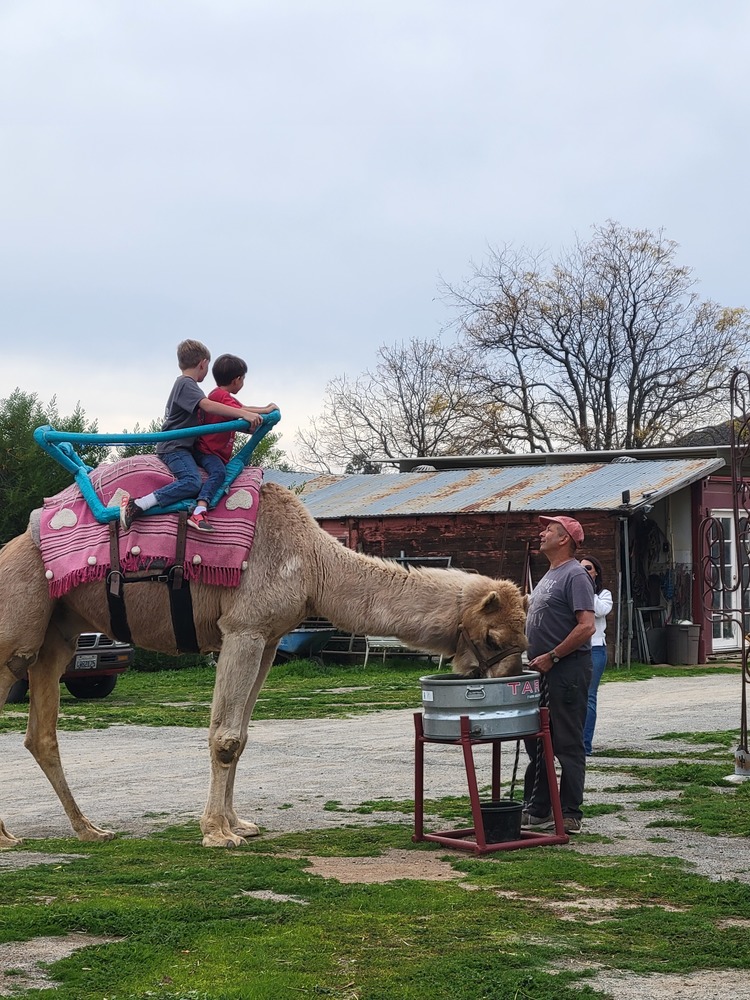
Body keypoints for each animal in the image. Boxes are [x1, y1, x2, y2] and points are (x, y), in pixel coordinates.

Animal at [0, 479, 527, 848]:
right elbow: (226, 736)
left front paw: (240, 823)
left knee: (41, 733)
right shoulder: (244, 628)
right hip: (17, 630)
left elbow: (244, 735)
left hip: (57, 635)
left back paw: (89, 830)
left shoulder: (270, 639)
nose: (511, 678)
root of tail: (12, 547)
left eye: (522, 637)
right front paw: (217, 833)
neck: (315, 564)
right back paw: (11, 836)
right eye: (496, 636)